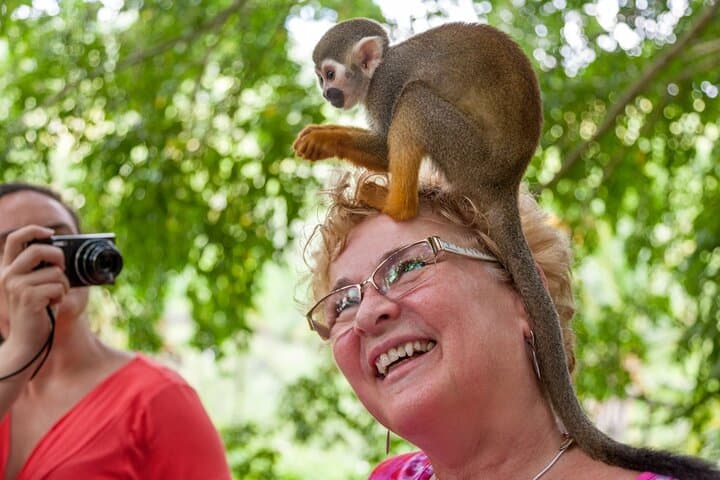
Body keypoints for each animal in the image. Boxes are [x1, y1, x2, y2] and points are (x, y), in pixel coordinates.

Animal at [293, 18, 720, 479]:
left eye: (330, 74)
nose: (327, 94)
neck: (376, 70)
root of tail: (503, 184)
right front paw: (320, 136)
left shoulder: (386, 86)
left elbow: (387, 145)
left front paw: (324, 139)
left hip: (467, 153)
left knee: (417, 100)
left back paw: (397, 204)